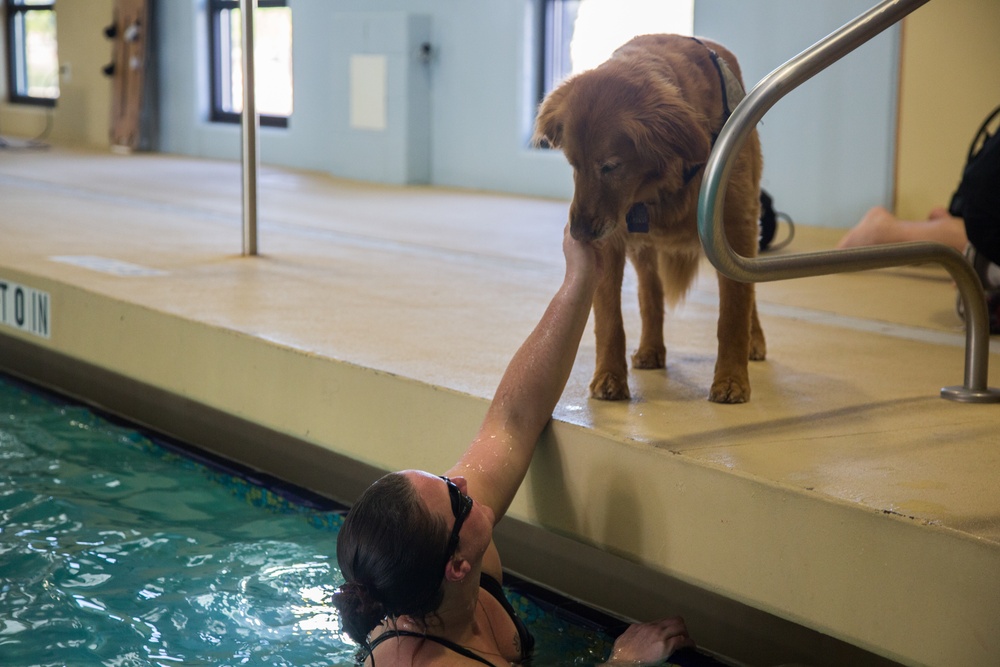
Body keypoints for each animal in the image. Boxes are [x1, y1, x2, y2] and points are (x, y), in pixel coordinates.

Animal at [536, 32, 760, 402]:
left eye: (610, 166)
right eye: (573, 164)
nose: (579, 233)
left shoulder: (735, 228)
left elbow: (733, 312)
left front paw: (731, 379)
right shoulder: (612, 242)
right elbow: (609, 318)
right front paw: (609, 376)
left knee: (749, 292)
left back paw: (756, 343)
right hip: (644, 249)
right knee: (650, 295)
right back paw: (650, 349)